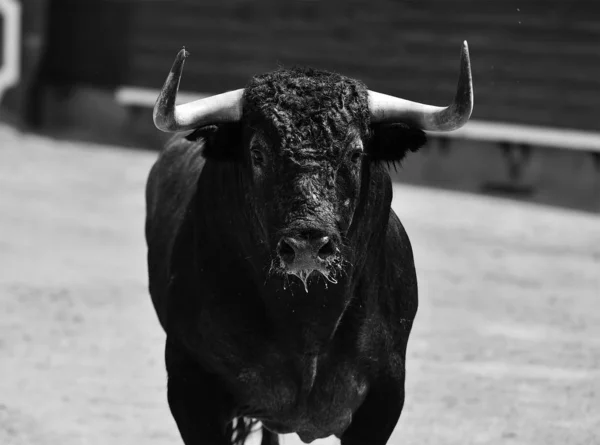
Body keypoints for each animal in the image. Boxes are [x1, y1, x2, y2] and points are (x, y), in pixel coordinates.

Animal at [145, 43, 474, 442]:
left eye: (355, 153)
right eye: (257, 153)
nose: (307, 245)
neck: (307, 323)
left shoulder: (386, 393)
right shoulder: (189, 384)